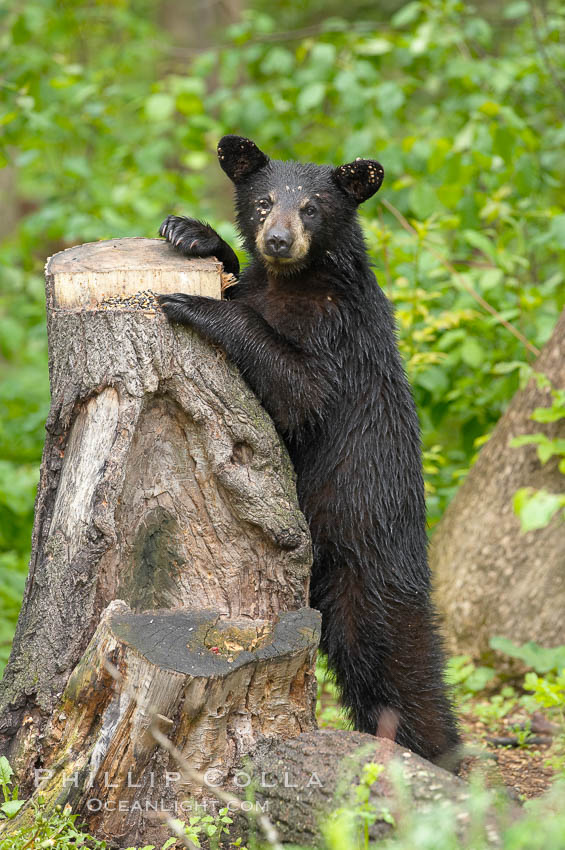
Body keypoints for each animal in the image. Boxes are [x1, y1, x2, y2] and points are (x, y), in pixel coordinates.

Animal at [158, 134, 458, 760]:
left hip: (363, 558)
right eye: (264, 201)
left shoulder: (335, 333)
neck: (292, 280)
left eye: (313, 207)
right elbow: (236, 275)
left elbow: (301, 393)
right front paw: (192, 233)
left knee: (396, 665)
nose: (278, 240)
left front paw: (199, 306)